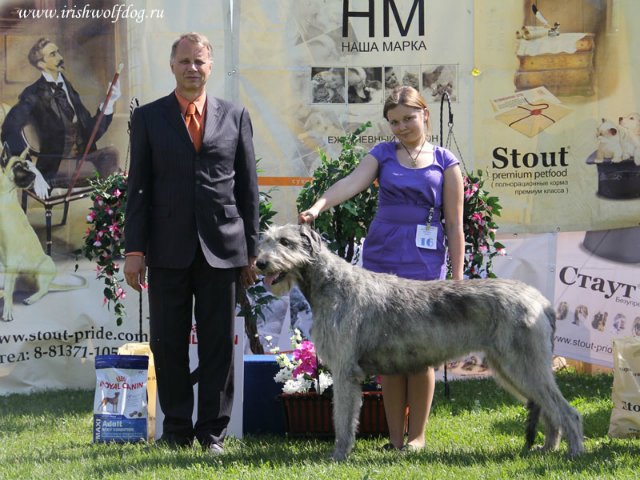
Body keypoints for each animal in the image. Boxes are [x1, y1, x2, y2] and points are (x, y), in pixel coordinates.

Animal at [256, 225, 584, 462]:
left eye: (285, 242)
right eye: (266, 240)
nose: (260, 263)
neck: (329, 282)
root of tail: (541, 300)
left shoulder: (345, 371)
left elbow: (343, 418)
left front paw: (338, 454)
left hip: (522, 363)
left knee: (566, 410)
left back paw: (574, 452)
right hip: (510, 366)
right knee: (549, 408)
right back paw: (549, 447)